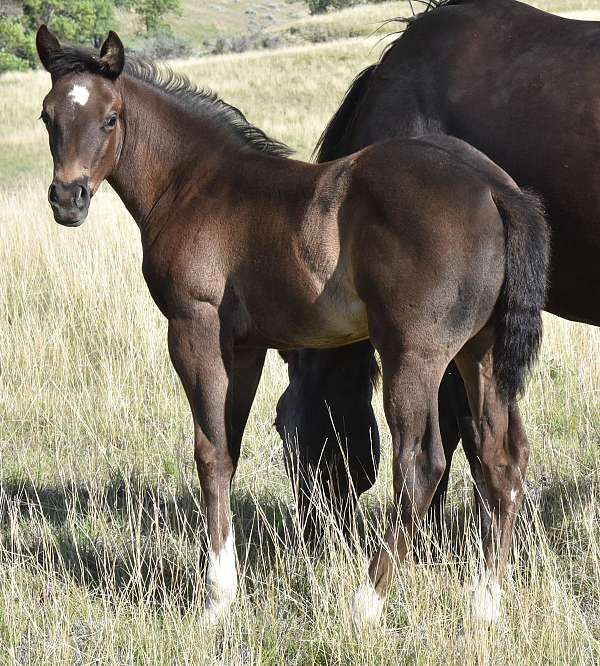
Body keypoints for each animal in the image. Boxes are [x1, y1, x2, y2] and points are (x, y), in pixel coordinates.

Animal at [36, 25, 549, 625]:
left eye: (110, 118)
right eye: (48, 116)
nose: (68, 200)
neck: (195, 184)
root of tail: (495, 188)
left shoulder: (193, 327)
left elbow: (208, 451)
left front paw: (216, 597)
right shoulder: (246, 346)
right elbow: (228, 449)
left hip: (413, 355)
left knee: (421, 464)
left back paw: (367, 602)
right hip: (480, 353)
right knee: (501, 459)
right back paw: (485, 604)